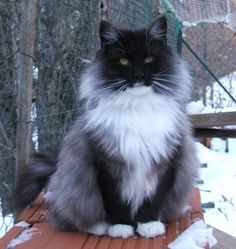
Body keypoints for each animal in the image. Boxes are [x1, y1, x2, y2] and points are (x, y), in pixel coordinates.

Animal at [15, 16, 199, 239]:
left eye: (148, 59)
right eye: (123, 61)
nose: (138, 75)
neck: (137, 108)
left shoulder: (165, 163)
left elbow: (153, 200)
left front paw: (148, 225)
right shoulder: (106, 166)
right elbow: (115, 203)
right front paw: (121, 227)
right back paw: (99, 226)